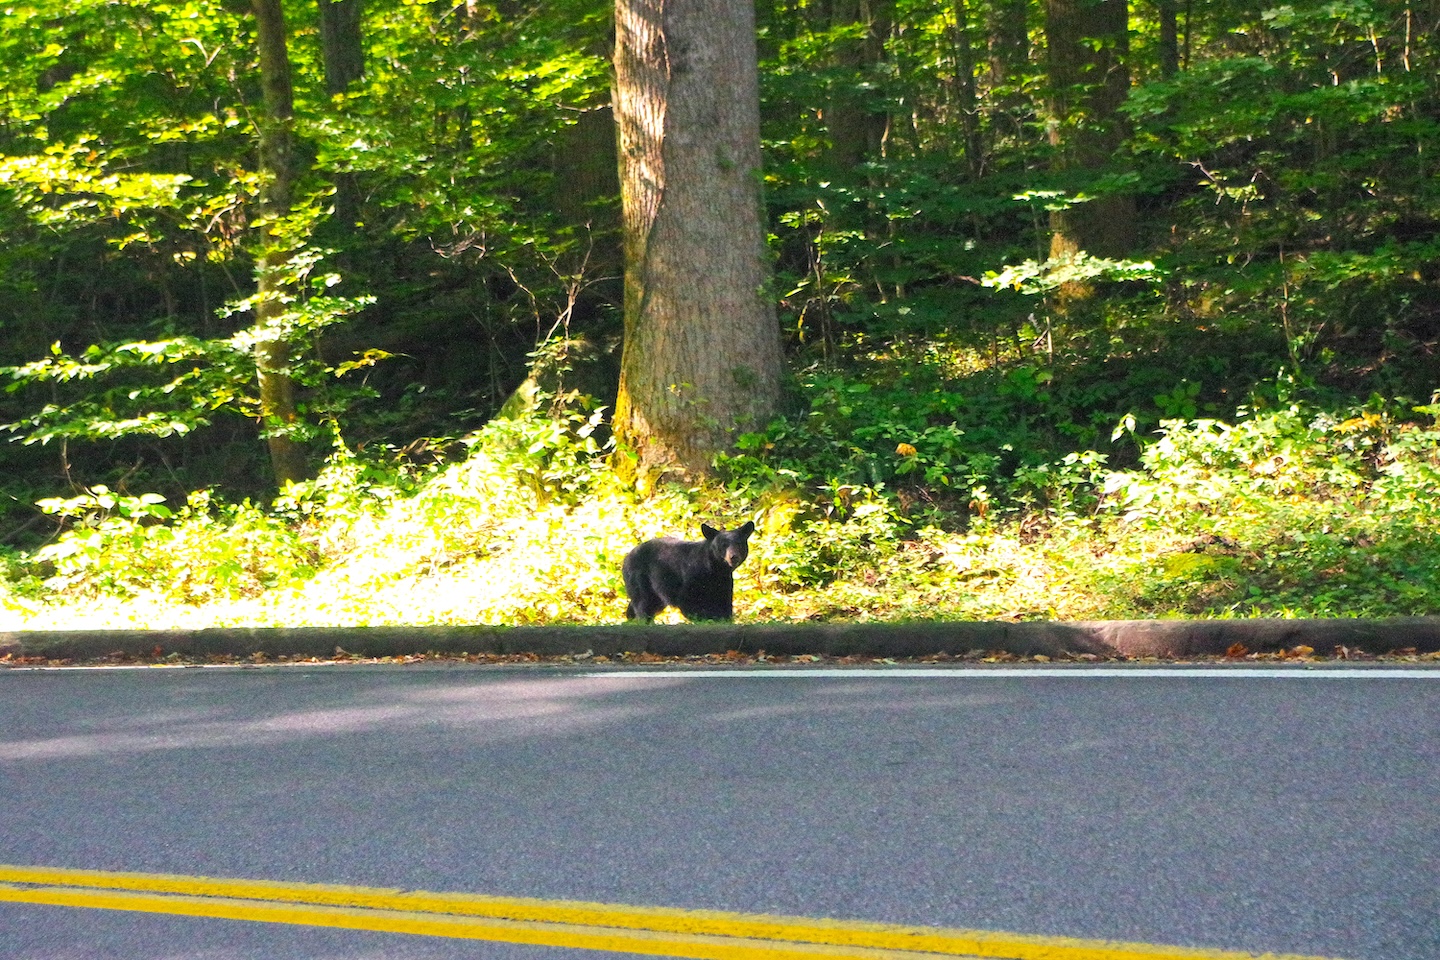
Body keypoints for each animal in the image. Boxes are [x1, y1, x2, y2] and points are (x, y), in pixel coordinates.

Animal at [622, 520, 755, 623]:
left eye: (738, 543)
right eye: (723, 545)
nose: (733, 557)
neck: (715, 569)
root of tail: (626, 557)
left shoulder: (723, 582)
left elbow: (723, 602)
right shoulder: (691, 576)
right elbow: (688, 600)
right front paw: (705, 619)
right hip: (640, 576)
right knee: (643, 601)